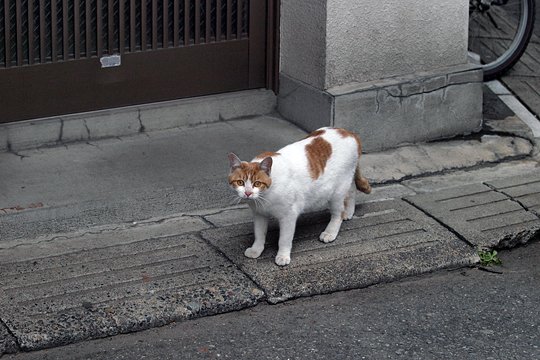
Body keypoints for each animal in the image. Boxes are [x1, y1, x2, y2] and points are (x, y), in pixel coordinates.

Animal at [228, 126, 372, 264]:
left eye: (257, 183)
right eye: (240, 182)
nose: (247, 193)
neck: (265, 197)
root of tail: (349, 132)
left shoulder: (288, 216)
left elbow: (284, 239)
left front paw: (282, 256)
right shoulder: (259, 214)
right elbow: (259, 234)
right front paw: (256, 250)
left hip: (337, 191)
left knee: (338, 213)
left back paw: (330, 231)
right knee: (352, 190)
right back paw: (349, 212)